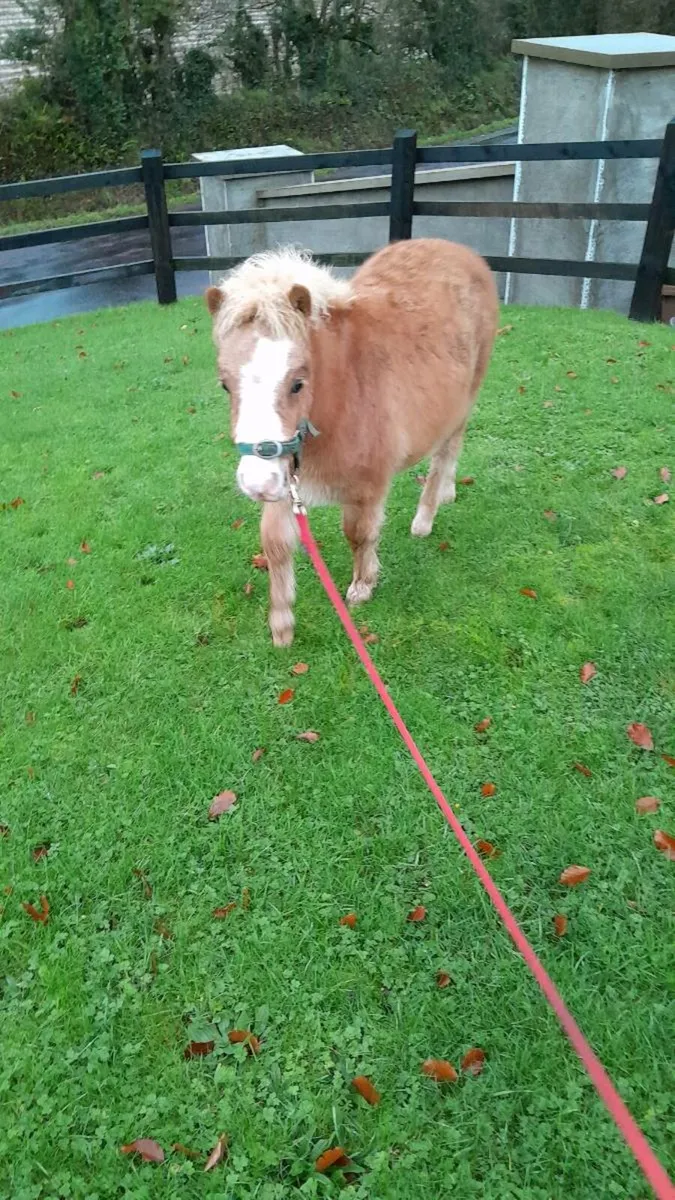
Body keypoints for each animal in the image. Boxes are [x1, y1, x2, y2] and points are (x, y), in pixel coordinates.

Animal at [206, 237, 498, 647]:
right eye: (225, 384)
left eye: (298, 383)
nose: (255, 483)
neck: (342, 393)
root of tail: (460, 250)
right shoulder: (284, 476)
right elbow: (275, 543)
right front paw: (282, 624)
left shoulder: (368, 485)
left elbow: (359, 535)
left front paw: (363, 585)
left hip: (465, 398)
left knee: (447, 451)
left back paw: (426, 516)